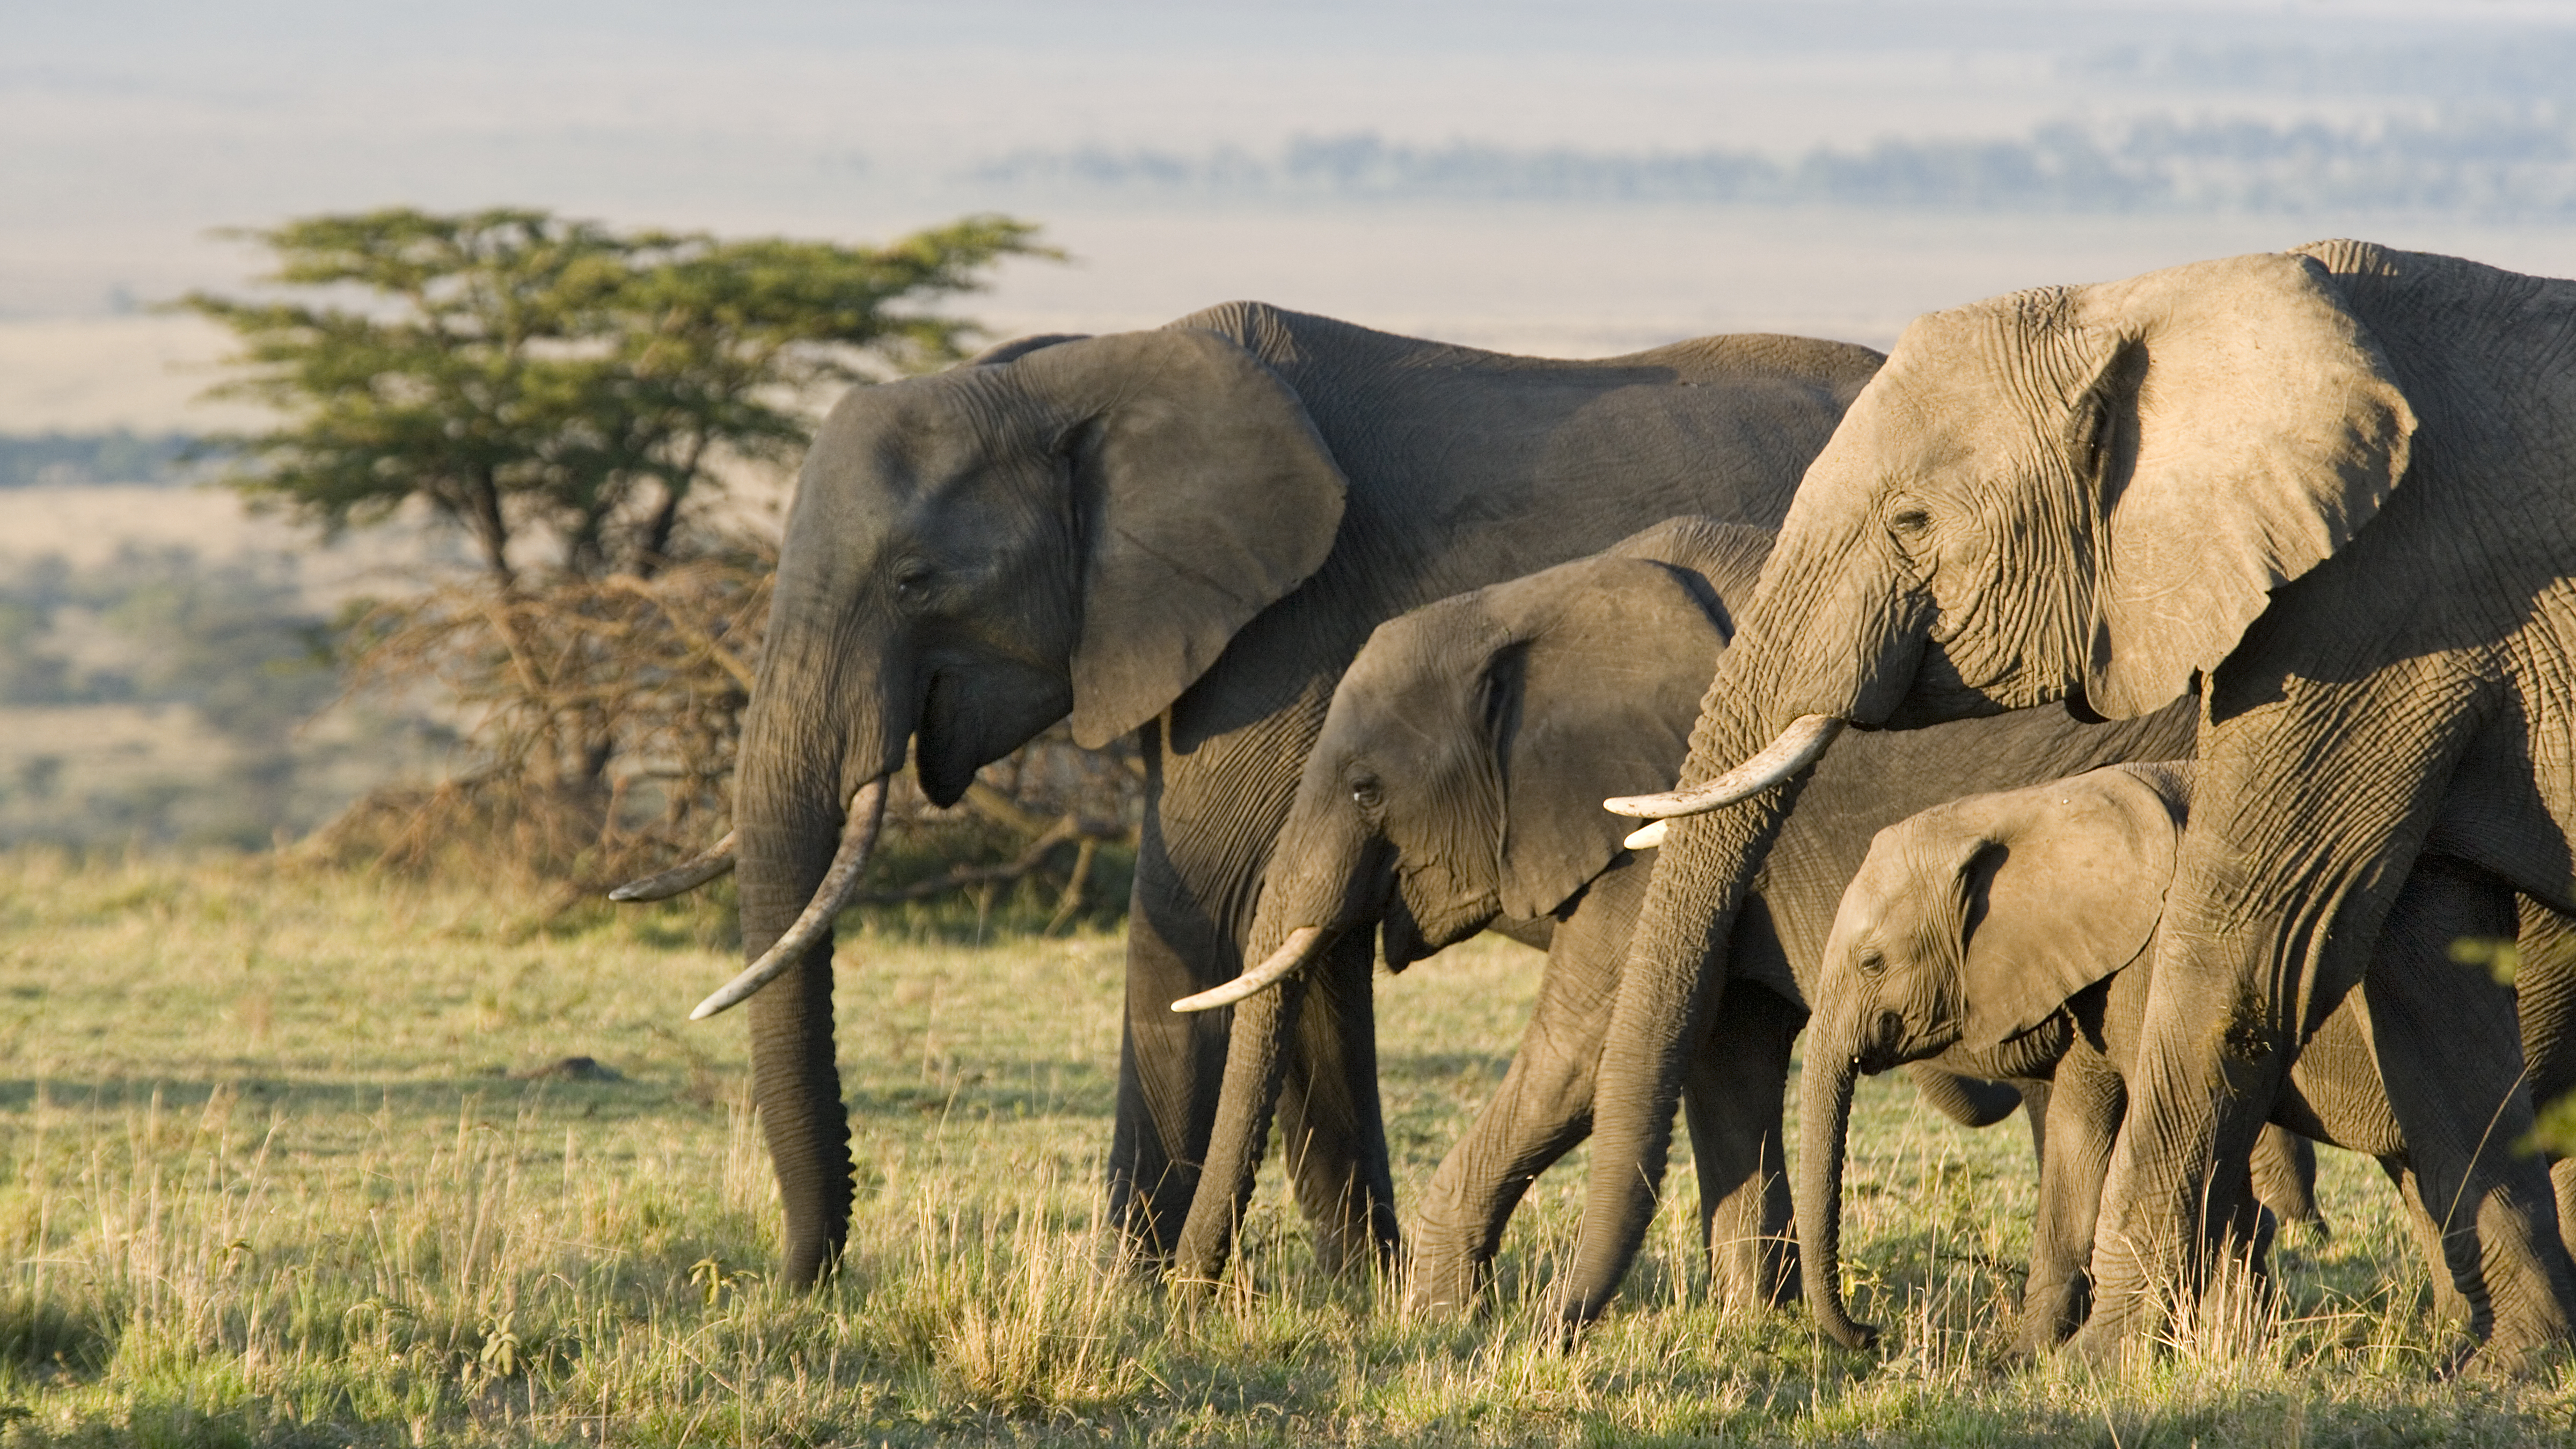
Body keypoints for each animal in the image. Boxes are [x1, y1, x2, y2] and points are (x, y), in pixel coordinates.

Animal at [613, 303, 1889, 1284]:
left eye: (915, 581)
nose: (803, 1282)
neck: (1081, 374)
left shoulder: (1282, 633)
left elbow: (1203, 912)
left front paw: (1125, 1296)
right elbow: (1299, 949)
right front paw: (1356, 1292)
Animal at [1167, 512, 2206, 1306]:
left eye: (1365, 791)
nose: (1192, 1297)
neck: (1534, 602)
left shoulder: (1654, 829)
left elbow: (1582, 1055)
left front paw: (1439, 1321)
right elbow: (1724, 1053)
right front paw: (1757, 1326)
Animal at [1796, 761, 2576, 1361]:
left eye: (1873, 963)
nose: (1873, 1335)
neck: (2033, 806)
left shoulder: (2158, 958)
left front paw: (2222, 1352)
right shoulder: (2099, 970)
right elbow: (2080, 1134)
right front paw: (2022, 1361)